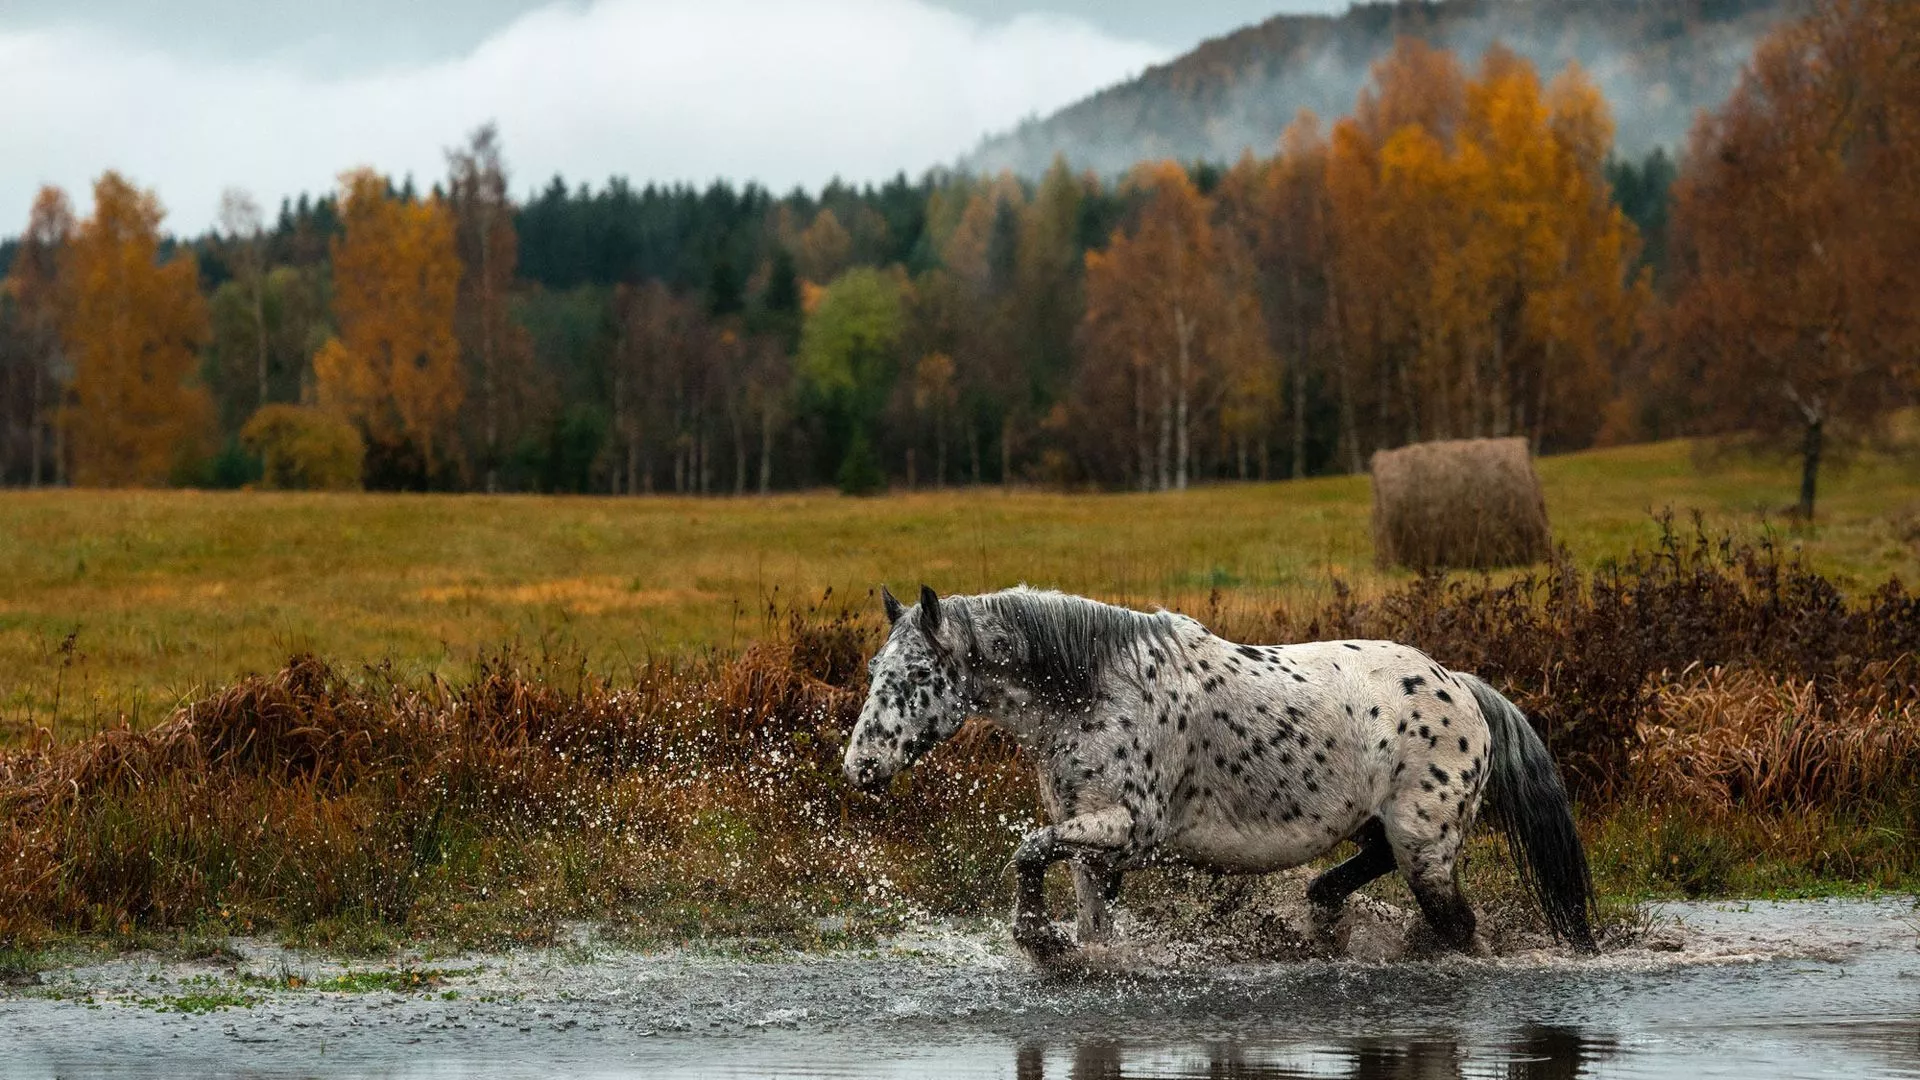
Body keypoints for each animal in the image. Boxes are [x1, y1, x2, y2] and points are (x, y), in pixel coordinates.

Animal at [842, 585, 1596, 960]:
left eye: (916, 676)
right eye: (876, 669)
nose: (859, 768)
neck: (1096, 689)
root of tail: (1461, 686)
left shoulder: (1131, 828)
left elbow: (1027, 851)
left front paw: (1035, 937)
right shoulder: (1091, 841)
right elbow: (1083, 913)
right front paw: (1057, 947)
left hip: (1427, 846)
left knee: (1457, 928)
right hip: (1386, 829)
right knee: (1368, 867)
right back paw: (1323, 914)